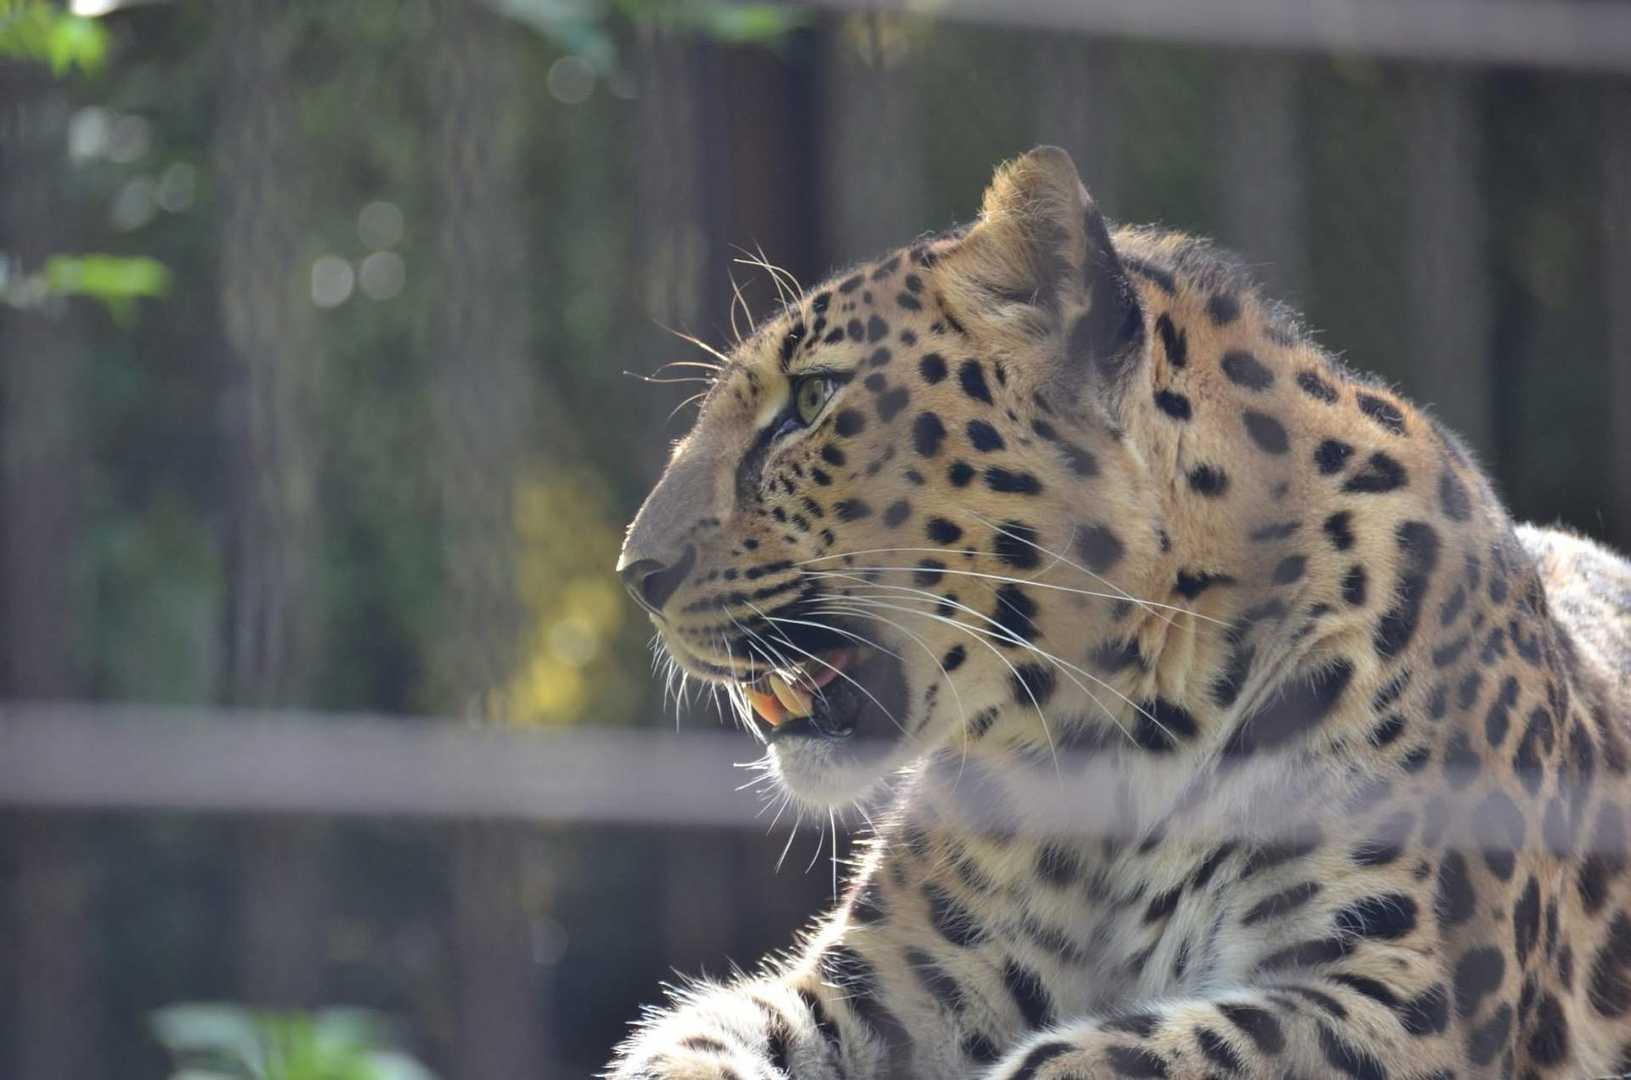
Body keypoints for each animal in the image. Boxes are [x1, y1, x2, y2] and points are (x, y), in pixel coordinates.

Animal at [608, 146, 1631, 1079]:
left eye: (813, 398)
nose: (636, 574)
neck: (1103, 735)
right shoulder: (873, 989)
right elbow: (693, 1039)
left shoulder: (1408, 1004)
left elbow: (1107, 1055)